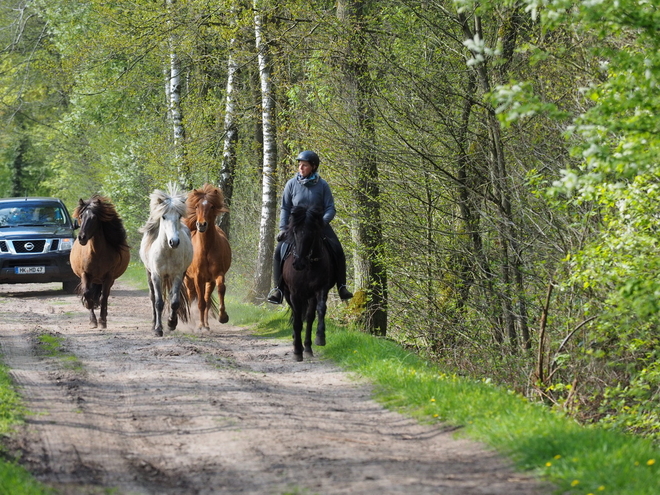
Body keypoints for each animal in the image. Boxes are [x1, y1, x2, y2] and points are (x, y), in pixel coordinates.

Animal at [70, 197, 131, 330]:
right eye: (81, 216)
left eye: (94, 218)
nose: (81, 237)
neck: (96, 253)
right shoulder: (85, 275)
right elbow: (88, 293)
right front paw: (92, 318)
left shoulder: (108, 276)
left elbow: (103, 297)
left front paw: (102, 321)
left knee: (105, 296)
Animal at [139, 185, 192, 338]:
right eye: (163, 216)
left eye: (179, 216)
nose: (174, 242)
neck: (168, 252)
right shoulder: (157, 276)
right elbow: (158, 302)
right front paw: (158, 329)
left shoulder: (178, 275)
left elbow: (174, 301)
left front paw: (171, 323)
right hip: (149, 274)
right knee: (153, 298)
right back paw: (153, 324)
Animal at [184, 184, 233, 332]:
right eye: (196, 206)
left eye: (211, 206)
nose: (201, 225)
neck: (206, 249)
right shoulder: (198, 278)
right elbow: (200, 302)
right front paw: (199, 325)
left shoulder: (217, 274)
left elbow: (221, 289)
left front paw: (223, 317)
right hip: (188, 279)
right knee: (192, 297)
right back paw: (195, 323)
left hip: (209, 281)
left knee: (207, 300)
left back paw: (206, 324)